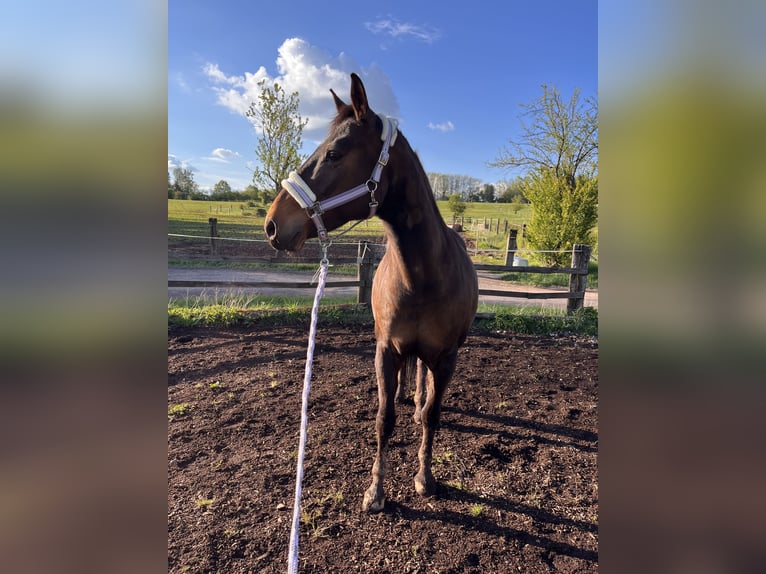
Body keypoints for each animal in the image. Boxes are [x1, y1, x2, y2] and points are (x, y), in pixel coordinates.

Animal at [264, 73, 478, 512]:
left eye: (334, 153)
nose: (272, 224)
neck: (422, 276)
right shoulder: (386, 351)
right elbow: (383, 420)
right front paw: (375, 491)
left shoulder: (447, 357)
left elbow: (433, 415)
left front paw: (424, 477)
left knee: (424, 387)